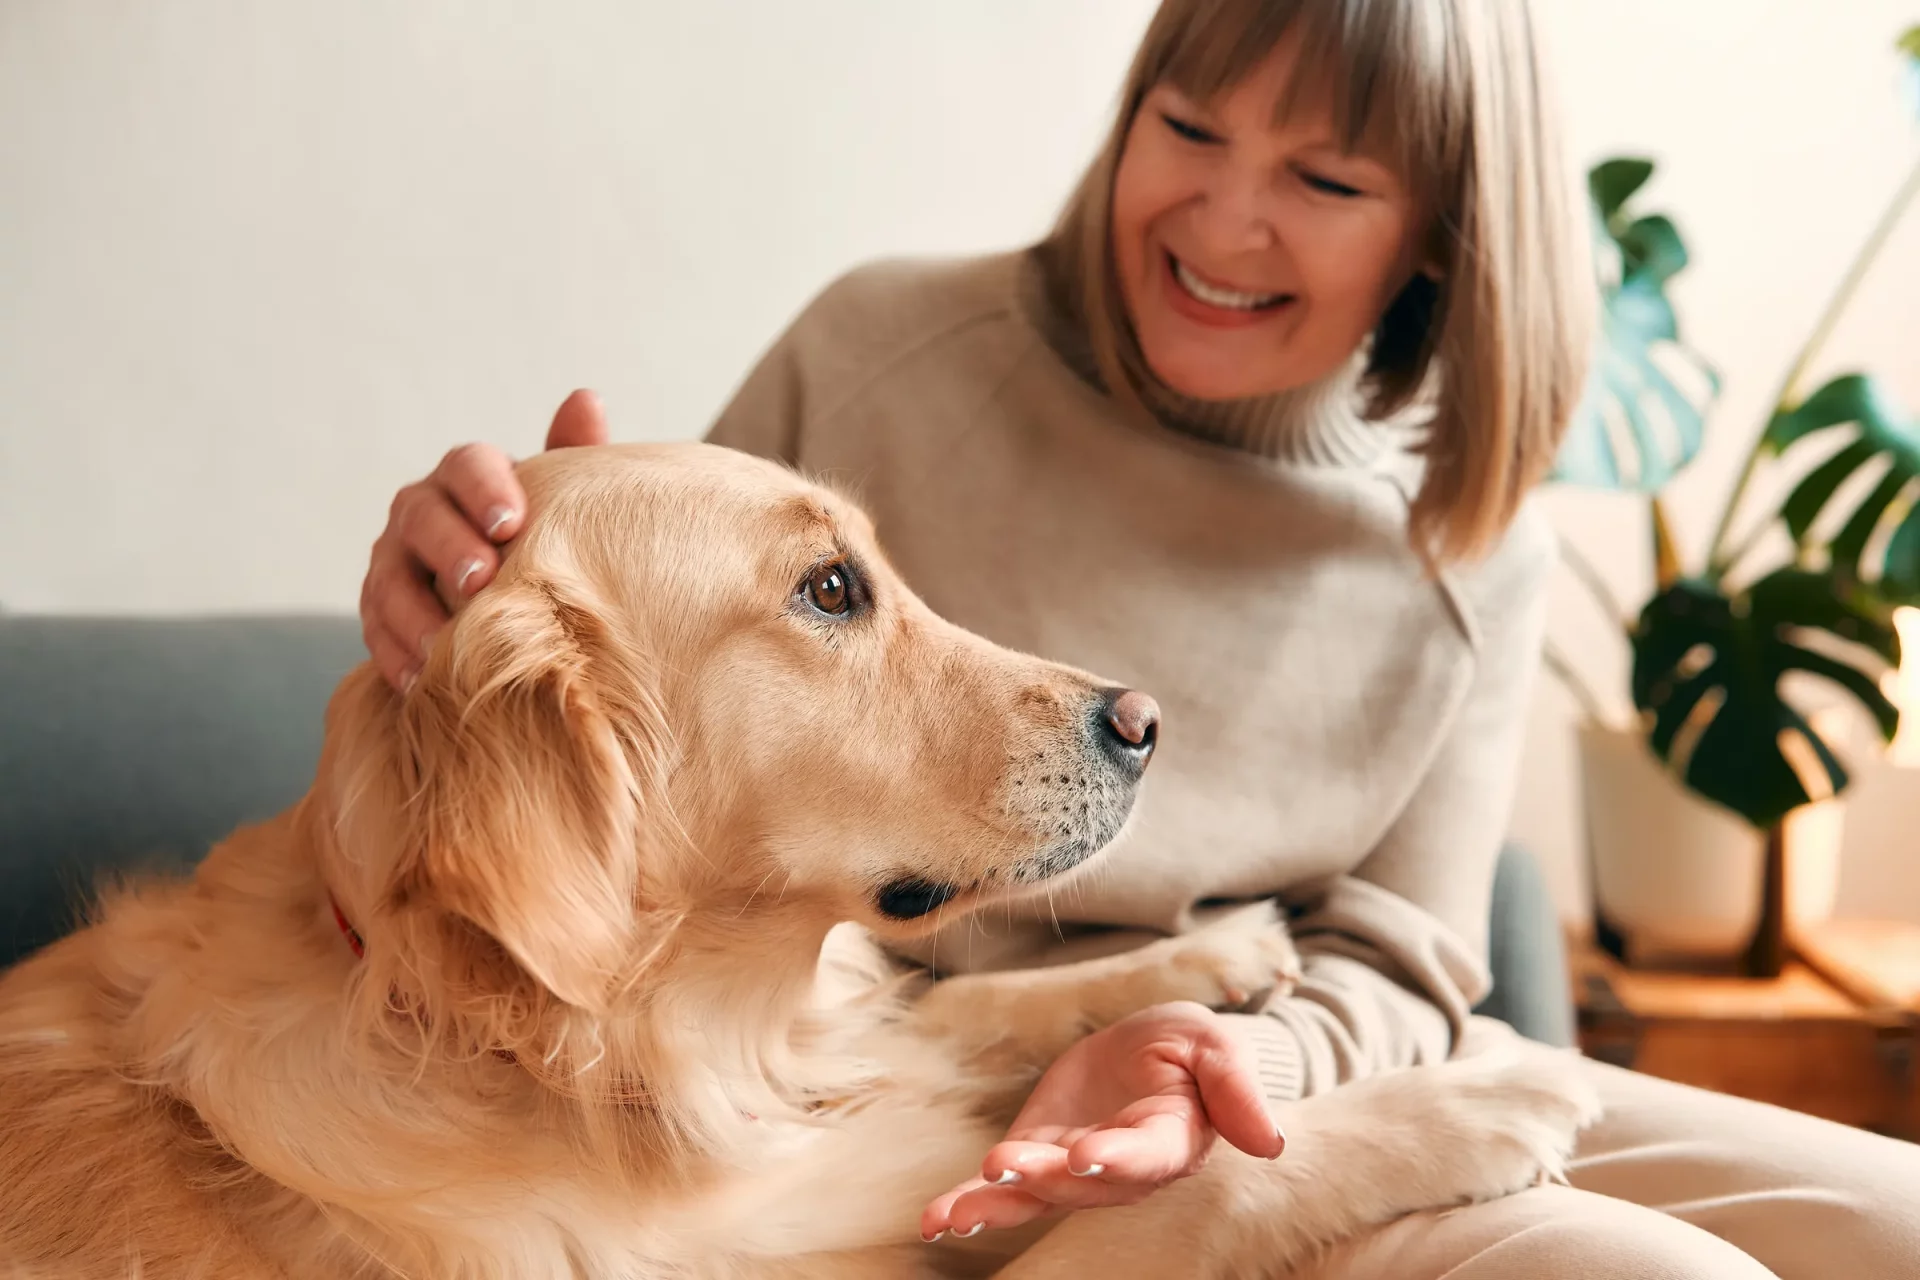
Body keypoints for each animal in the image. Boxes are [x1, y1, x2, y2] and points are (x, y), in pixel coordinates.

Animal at [0, 443, 1589, 1280]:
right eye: (829, 590)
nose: (1148, 721)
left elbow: (957, 1000)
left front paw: (1215, 952)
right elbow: (1199, 1185)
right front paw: (1473, 1101)